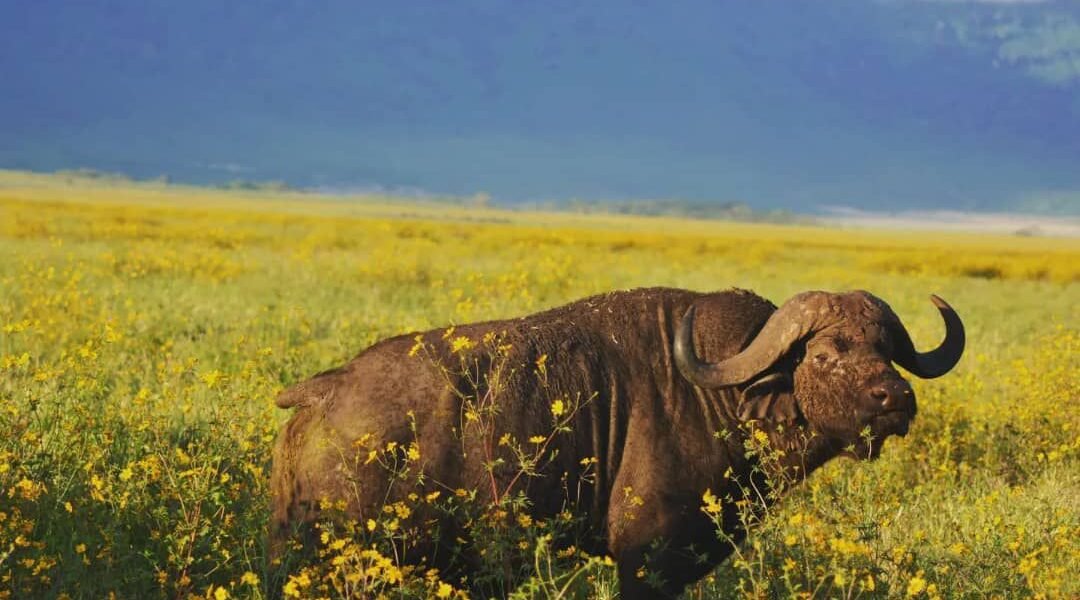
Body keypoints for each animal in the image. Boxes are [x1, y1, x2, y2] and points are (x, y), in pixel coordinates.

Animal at [270, 287, 964, 598]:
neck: (722, 392)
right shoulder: (645, 562)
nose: (896, 399)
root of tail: (323, 391)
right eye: (825, 353)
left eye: (884, 348)